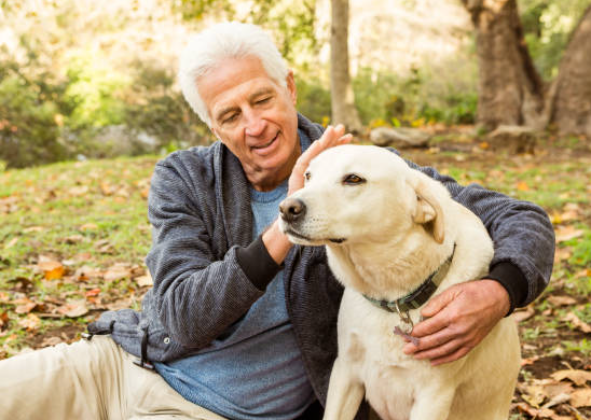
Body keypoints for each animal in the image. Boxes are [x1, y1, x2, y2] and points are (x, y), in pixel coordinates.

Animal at [280, 145, 520, 420]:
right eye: (308, 176)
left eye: (353, 179)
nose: (287, 208)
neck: (391, 296)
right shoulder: (345, 371)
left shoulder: (433, 396)